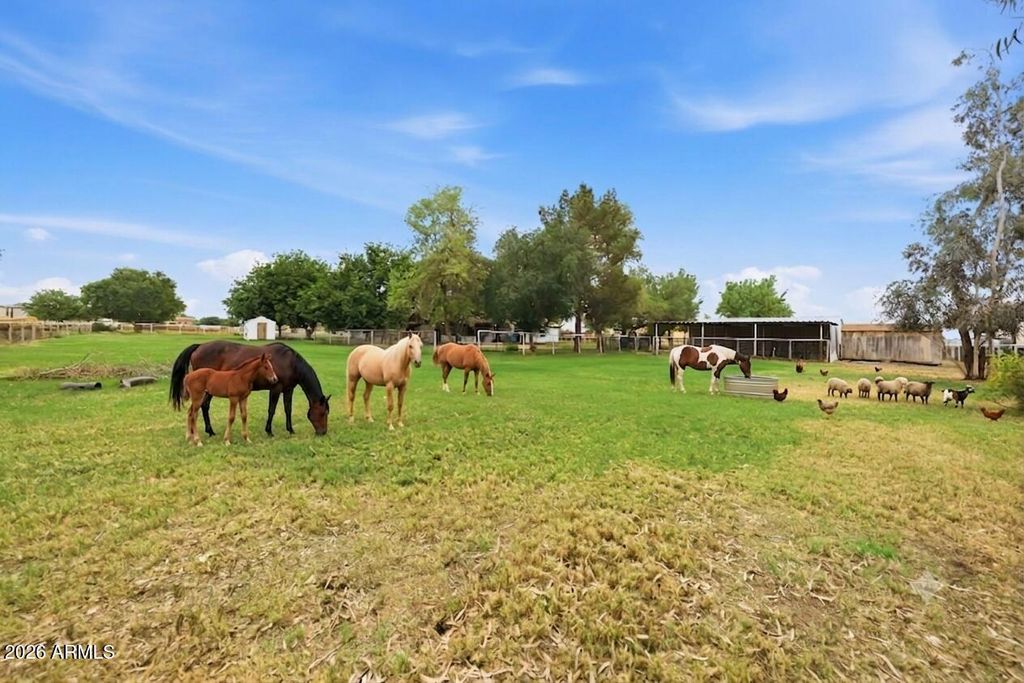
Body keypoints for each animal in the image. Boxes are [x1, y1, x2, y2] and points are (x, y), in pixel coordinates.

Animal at [170, 341, 330, 437]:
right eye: (323, 413)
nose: (323, 432)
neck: (290, 362)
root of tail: (200, 345)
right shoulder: (275, 389)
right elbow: (271, 410)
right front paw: (269, 431)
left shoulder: (288, 390)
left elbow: (288, 409)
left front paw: (290, 429)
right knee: (204, 406)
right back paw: (210, 431)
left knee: (204, 406)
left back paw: (209, 431)